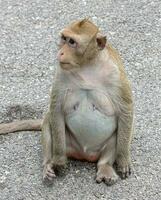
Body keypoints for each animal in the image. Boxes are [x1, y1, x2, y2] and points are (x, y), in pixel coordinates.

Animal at [0, 19, 133, 186]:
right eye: (64, 39)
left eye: (72, 42)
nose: (60, 52)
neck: (87, 66)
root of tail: (85, 155)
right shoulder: (61, 73)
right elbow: (56, 109)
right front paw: (58, 161)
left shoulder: (115, 75)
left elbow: (125, 110)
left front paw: (123, 161)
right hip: (67, 144)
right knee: (48, 121)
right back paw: (48, 165)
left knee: (118, 133)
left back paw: (105, 166)